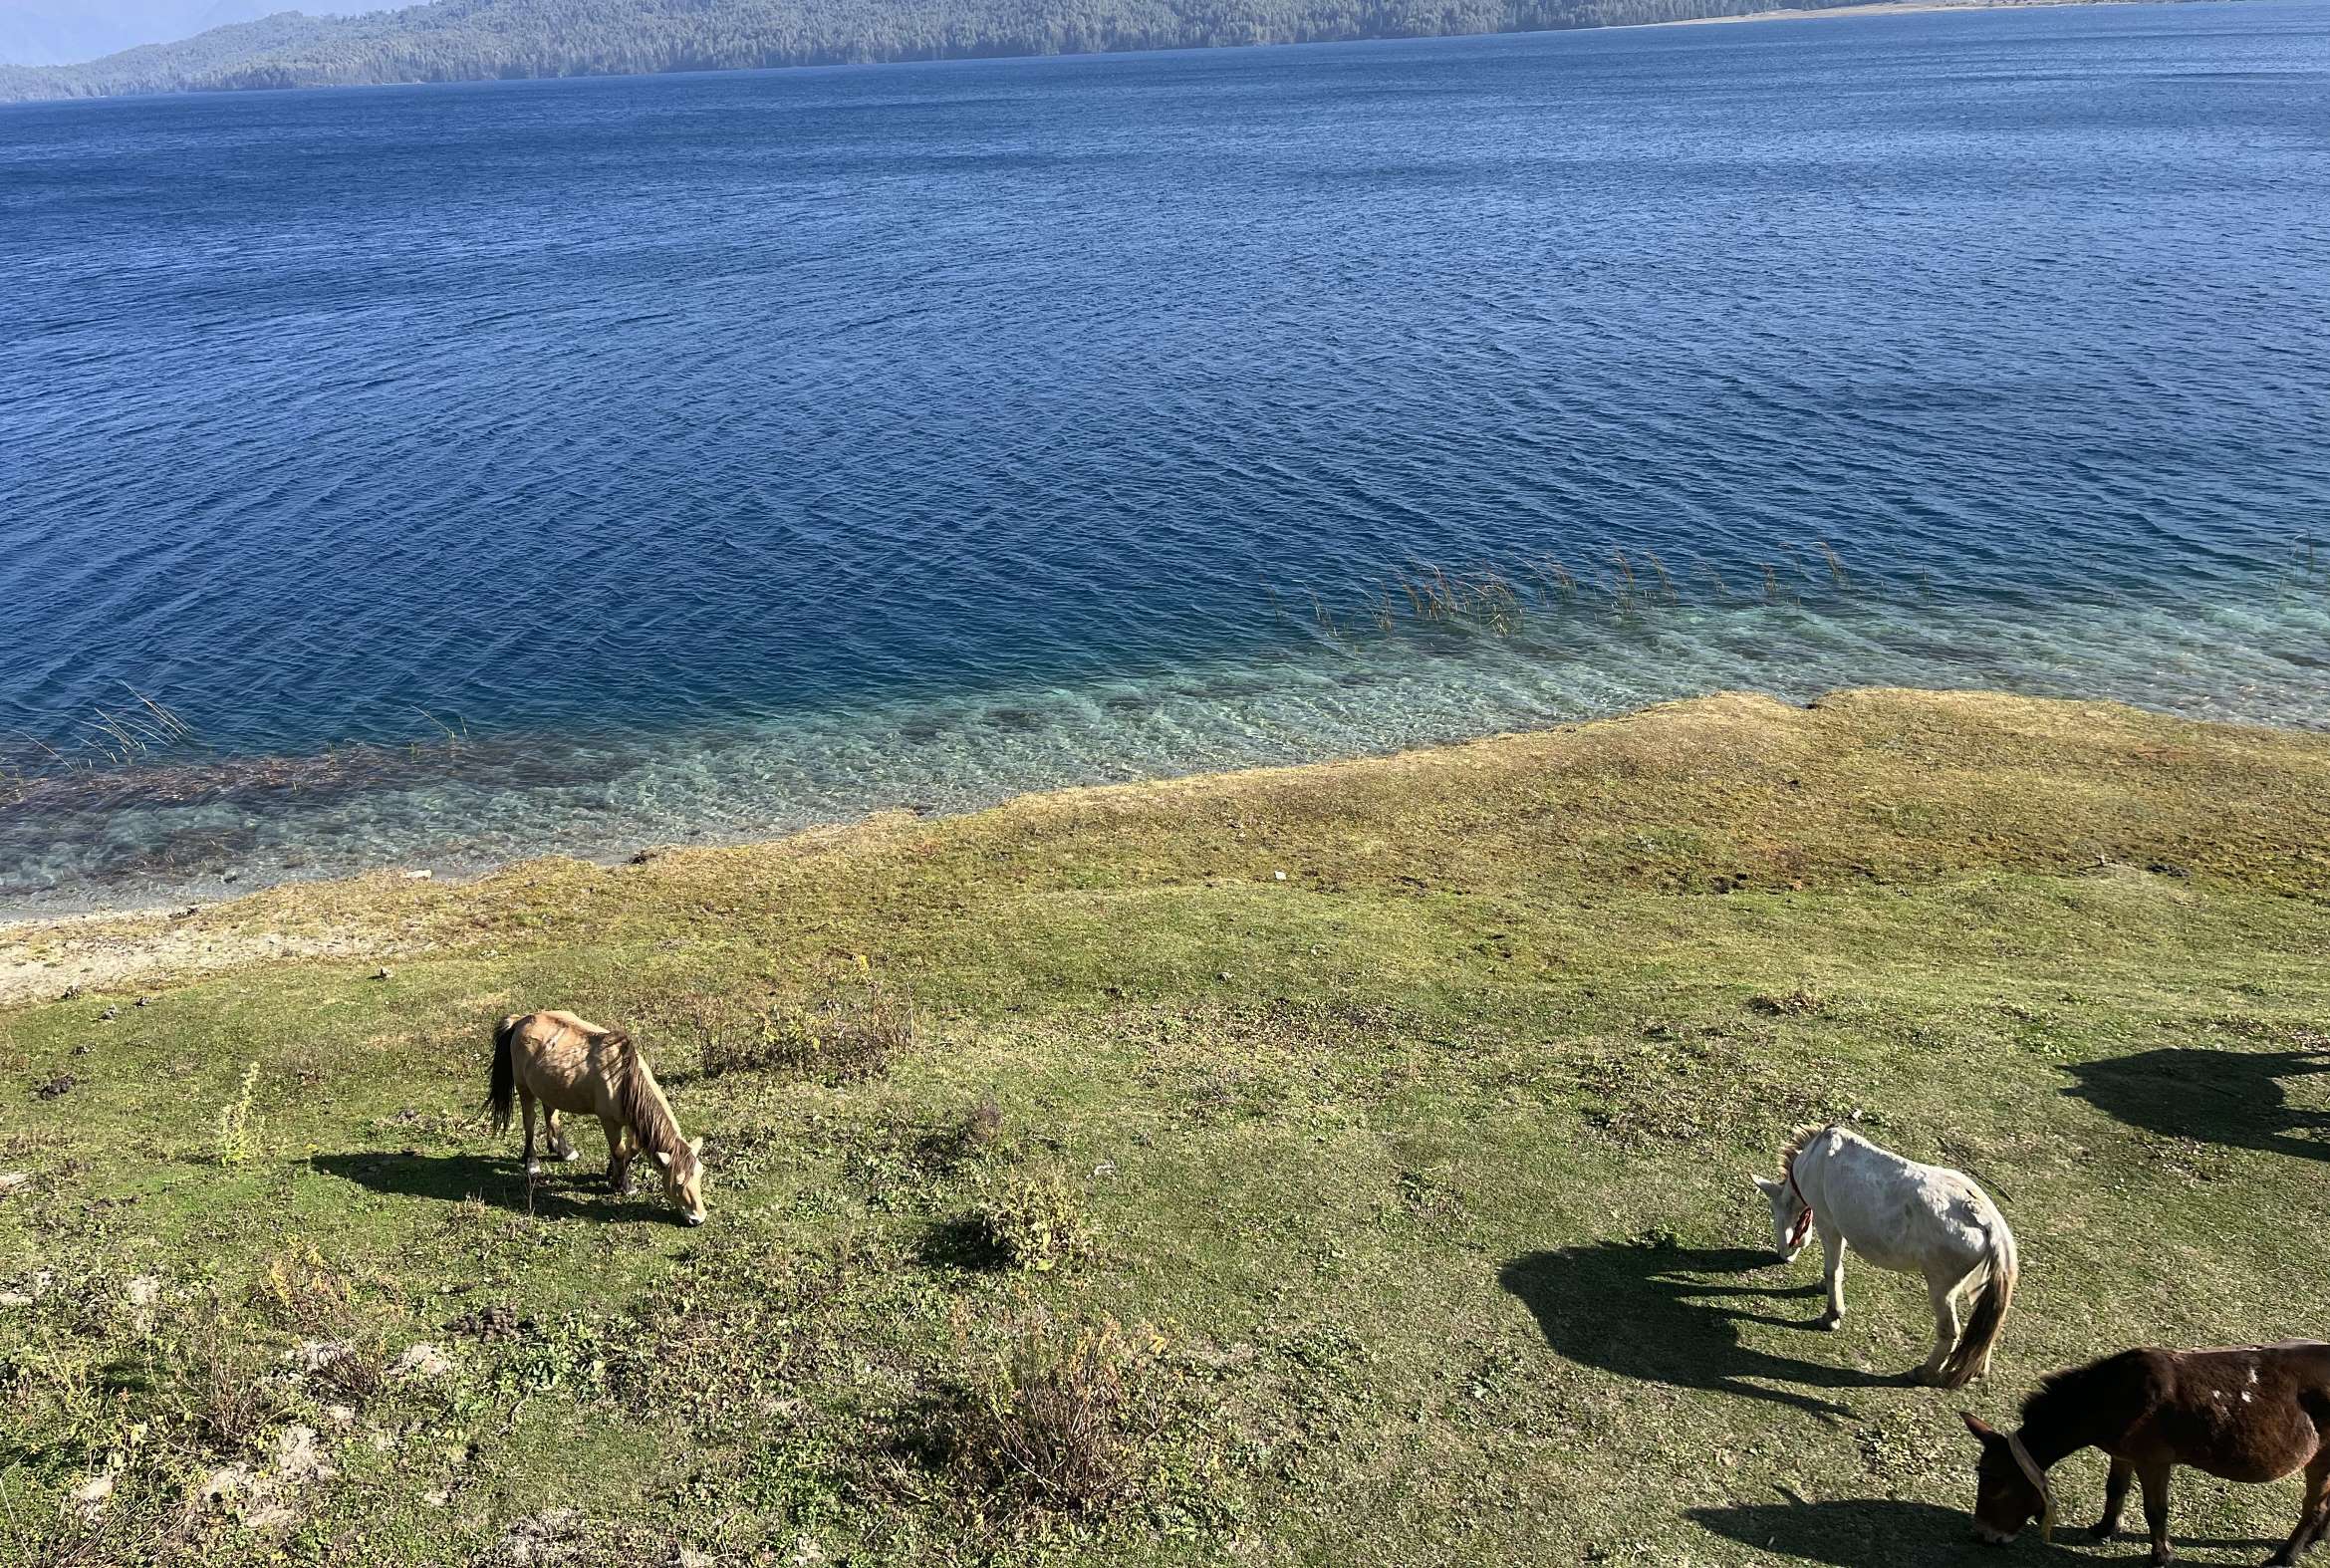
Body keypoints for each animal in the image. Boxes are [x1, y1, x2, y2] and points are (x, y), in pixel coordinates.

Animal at [484, 1015, 703, 1220]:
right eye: (678, 1182)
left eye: (700, 1173)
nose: (698, 1218)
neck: (623, 1079)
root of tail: (521, 1020)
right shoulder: (609, 1121)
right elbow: (618, 1150)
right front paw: (624, 1184)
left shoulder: (633, 1121)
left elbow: (631, 1149)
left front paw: (612, 1174)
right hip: (525, 1089)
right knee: (529, 1121)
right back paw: (532, 1161)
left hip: (549, 1087)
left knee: (551, 1114)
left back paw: (563, 1150)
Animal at [1751, 1127, 2012, 1379]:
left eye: (1774, 1210)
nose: (1783, 1254)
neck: (1815, 1158)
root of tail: (1983, 1219)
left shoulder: (1829, 1225)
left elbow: (1833, 1270)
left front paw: (1832, 1316)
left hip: (1942, 1288)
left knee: (1950, 1331)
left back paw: (1924, 1373)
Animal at [1966, 1342, 2330, 1556]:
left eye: (1996, 1482)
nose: (1983, 1534)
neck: (2108, 1398)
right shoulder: (2121, 1453)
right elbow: (2115, 1489)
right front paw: (2103, 1529)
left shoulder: (2153, 1460)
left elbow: (2156, 1510)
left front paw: (2161, 1556)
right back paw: (2315, 1540)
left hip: (2321, 1456)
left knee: (2314, 1509)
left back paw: (2284, 1557)